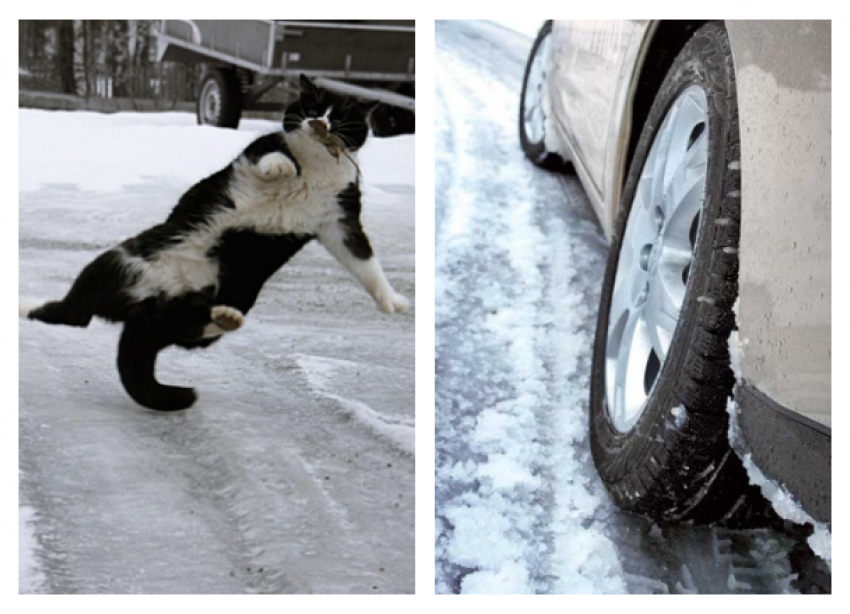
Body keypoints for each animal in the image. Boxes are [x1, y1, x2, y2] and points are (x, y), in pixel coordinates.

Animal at [21, 76, 410, 414]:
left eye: (339, 116)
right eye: (311, 106)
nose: (318, 122)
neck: (314, 168)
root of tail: (140, 311)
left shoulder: (339, 222)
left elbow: (364, 261)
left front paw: (391, 301)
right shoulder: (255, 153)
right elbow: (274, 156)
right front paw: (283, 170)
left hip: (234, 293)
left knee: (180, 330)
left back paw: (225, 318)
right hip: (115, 260)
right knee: (72, 313)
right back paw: (28, 303)